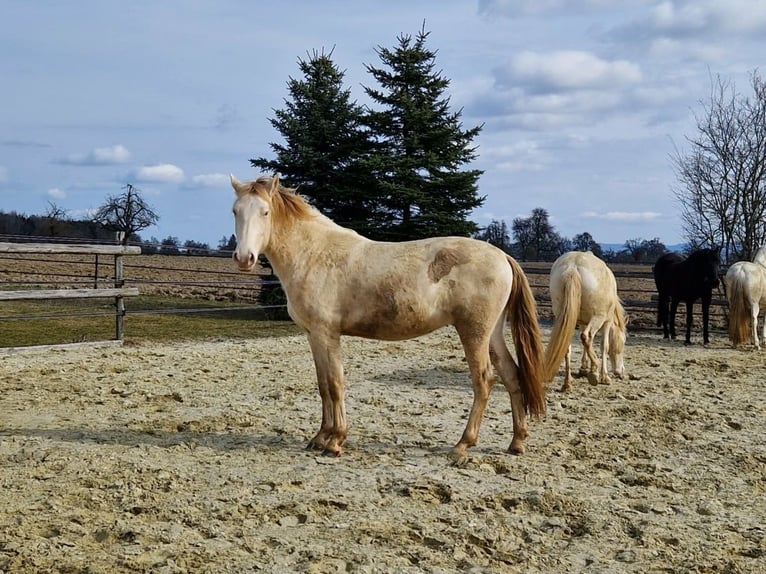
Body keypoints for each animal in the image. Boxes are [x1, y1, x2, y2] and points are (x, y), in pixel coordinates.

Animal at [229, 174, 546, 462]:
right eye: (235, 210)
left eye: (265, 212)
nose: (244, 258)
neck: (315, 254)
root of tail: (503, 257)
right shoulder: (312, 335)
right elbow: (323, 385)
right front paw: (320, 437)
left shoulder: (326, 334)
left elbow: (335, 384)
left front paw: (335, 441)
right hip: (492, 334)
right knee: (512, 375)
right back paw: (517, 442)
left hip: (474, 333)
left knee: (484, 381)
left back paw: (462, 446)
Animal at [544, 251, 627, 392]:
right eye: (623, 342)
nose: (620, 372)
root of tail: (573, 266)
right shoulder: (606, 322)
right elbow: (604, 346)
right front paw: (603, 376)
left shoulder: (583, 322)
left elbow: (586, 345)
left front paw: (584, 368)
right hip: (597, 318)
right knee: (587, 337)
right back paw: (594, 372)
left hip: (565, 318)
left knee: (570, 344)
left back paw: (568, 383)